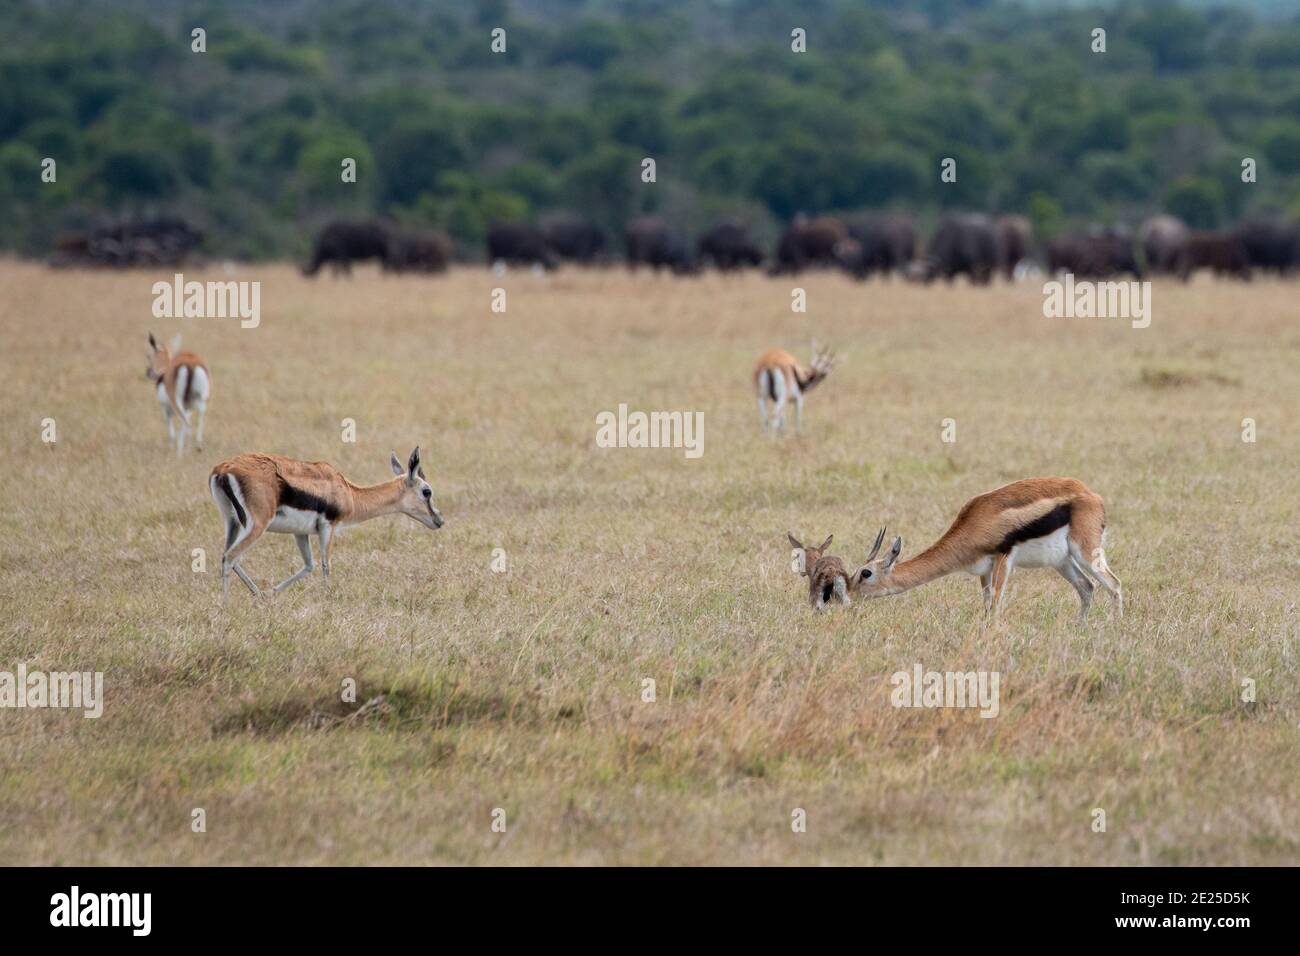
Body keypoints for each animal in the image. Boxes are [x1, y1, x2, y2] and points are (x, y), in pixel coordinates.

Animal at [209, 447, 444, 601]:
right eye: (427, 491)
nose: (439, 520)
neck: (349, 493)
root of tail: (222, 470)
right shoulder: (328, 527)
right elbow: (326, 566)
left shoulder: (300, 532)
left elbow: (309, 565)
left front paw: (269, 594)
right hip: (257, 525)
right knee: (230, 557)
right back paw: (225, 606)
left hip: (232, 522)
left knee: (228, 556)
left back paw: (256, 595)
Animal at [850, 478, 1123, 621]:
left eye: (866, 573)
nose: (848, 596)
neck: (972, 525)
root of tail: (1091, 494)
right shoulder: (984, 570)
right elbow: (987, 602)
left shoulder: (1003, 559)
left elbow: (997, 603)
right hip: (1062, 562)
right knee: (1087, 587)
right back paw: (1080, 626)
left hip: (1086, 553)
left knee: (1114, 584)